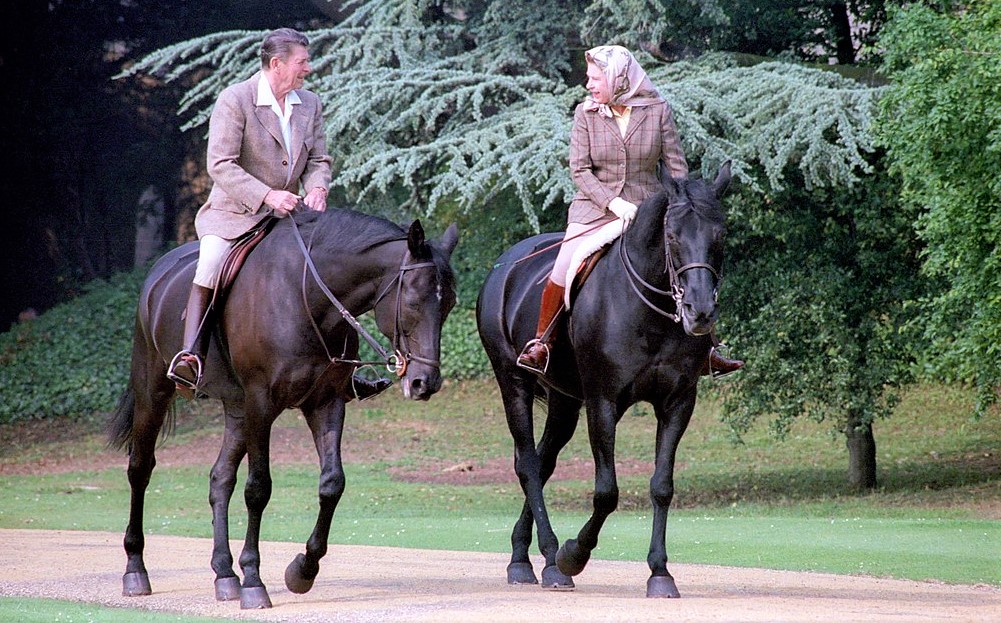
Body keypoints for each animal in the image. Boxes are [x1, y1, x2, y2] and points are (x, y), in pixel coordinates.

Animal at [106, 208, 458, 608]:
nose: (424, 383)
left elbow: (332, 483)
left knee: (220, 479)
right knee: (140, 470)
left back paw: (224, 574)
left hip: (237, 408)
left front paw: (302, 570)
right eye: (413, 302)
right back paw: (136, 569)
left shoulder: (326, 403)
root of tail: (158, 272)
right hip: (155, 392)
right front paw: (254, 581)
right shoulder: (261, 404)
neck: (307, 298)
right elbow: (258, 489)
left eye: (449, 304)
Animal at [472, 163, 732, 596]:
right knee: (528, 464)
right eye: (673, 237)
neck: (652, 313)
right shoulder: (603, 402)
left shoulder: (678, 402)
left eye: (720, 235)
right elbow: (607, 492)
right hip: (514, 384)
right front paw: (573, 555)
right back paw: (551, 559)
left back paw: (523, 556)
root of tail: (507, 263)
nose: (700, 312)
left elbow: (662, 486)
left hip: (564, 401)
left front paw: (660, 572)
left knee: (543, 462)